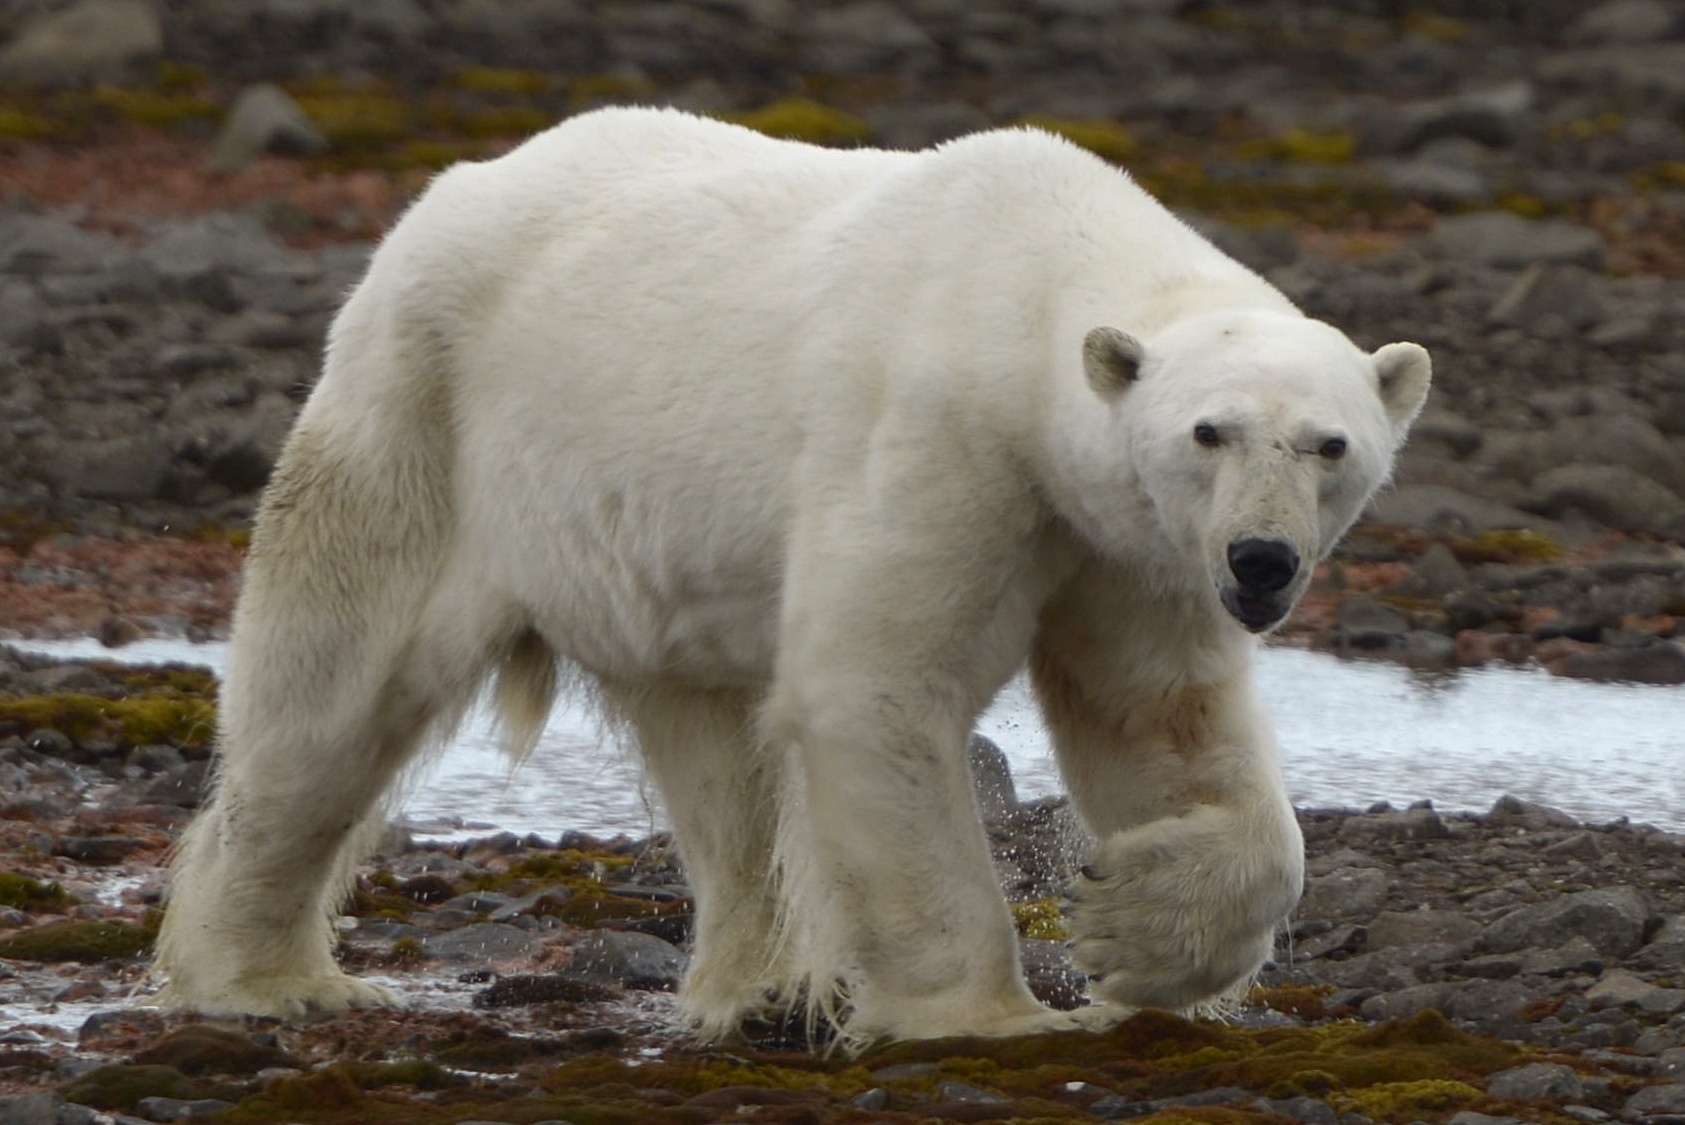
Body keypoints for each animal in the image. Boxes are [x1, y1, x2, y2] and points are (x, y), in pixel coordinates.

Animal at [151, 105, 1428, 1044]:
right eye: (1208, 432)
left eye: (1328, 444)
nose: (1260, 560)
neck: (1022, 290)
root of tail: (447, 191)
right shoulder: (943, 445)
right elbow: (876, 690)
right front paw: (994, 1017)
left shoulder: (1126, 542)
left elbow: (1157, 719)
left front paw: (1134, 934)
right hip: (424, 418)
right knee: (333, 691)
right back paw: (271, 977)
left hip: (658, 556)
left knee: (717, 753)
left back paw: (758, 987)